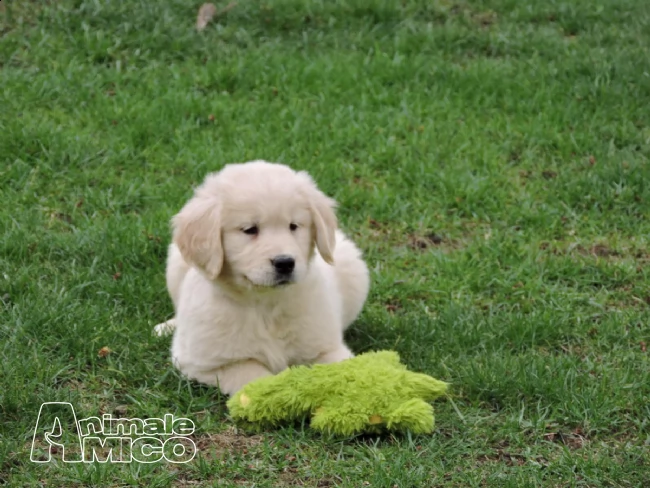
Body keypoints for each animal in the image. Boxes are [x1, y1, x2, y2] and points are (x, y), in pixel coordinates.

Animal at [151, 160, 364, 396]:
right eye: (250, 229)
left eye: (293, 226)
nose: (285, 263)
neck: (265, 304)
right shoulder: (208, 363)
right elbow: (256, 377)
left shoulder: (326, 348)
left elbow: (348, 371)